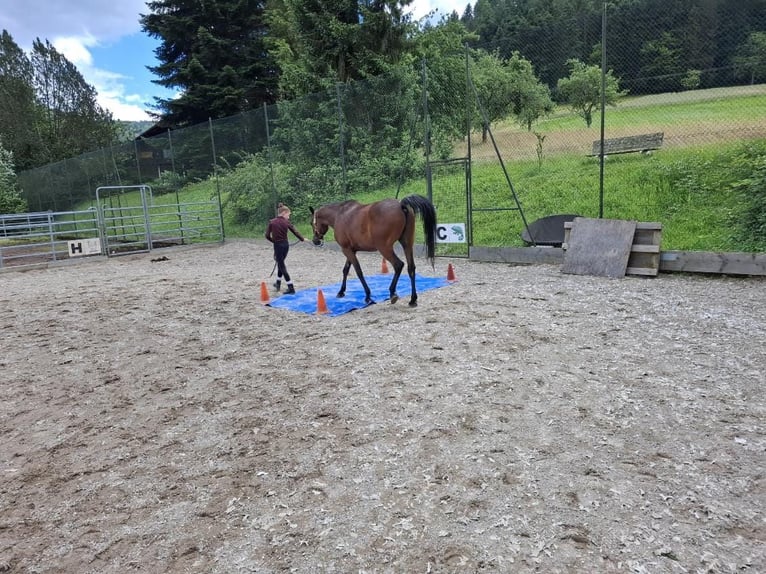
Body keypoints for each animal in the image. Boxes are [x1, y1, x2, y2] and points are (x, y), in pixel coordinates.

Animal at [310, 196, 438, 308]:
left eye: (312, 223)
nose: (315, 240)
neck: (339, 215)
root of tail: (401, 205)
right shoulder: (351, 250)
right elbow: (346, 270)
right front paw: (341, 291)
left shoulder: (346, 250)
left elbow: (358, 272)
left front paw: (367, 296)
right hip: (407, 245)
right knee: (411, 268)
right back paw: (412, 299)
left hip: (384, 248)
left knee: (398, 265)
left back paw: (392, 293)